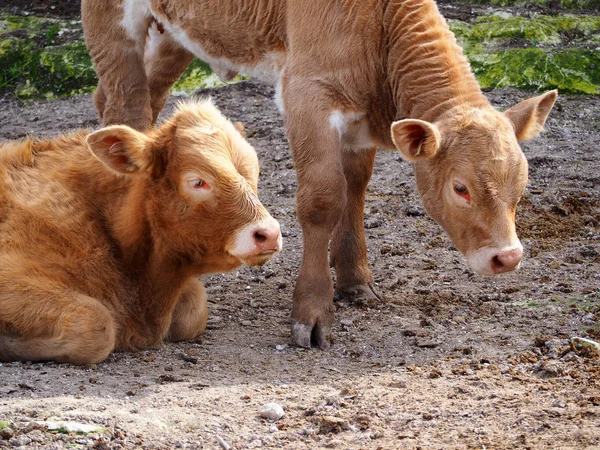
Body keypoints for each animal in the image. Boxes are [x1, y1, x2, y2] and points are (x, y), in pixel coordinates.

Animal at [83, 0, 556, 348]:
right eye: (461, 188)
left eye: (521, 185)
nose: (507, 258)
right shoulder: (307, 92)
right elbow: (323, 199)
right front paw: (312, 311)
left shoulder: (359, 121)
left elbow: (355, 188)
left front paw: (355, 281)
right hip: (113, 21)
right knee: (125, 102)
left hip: (175, 34)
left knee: (135, 101)